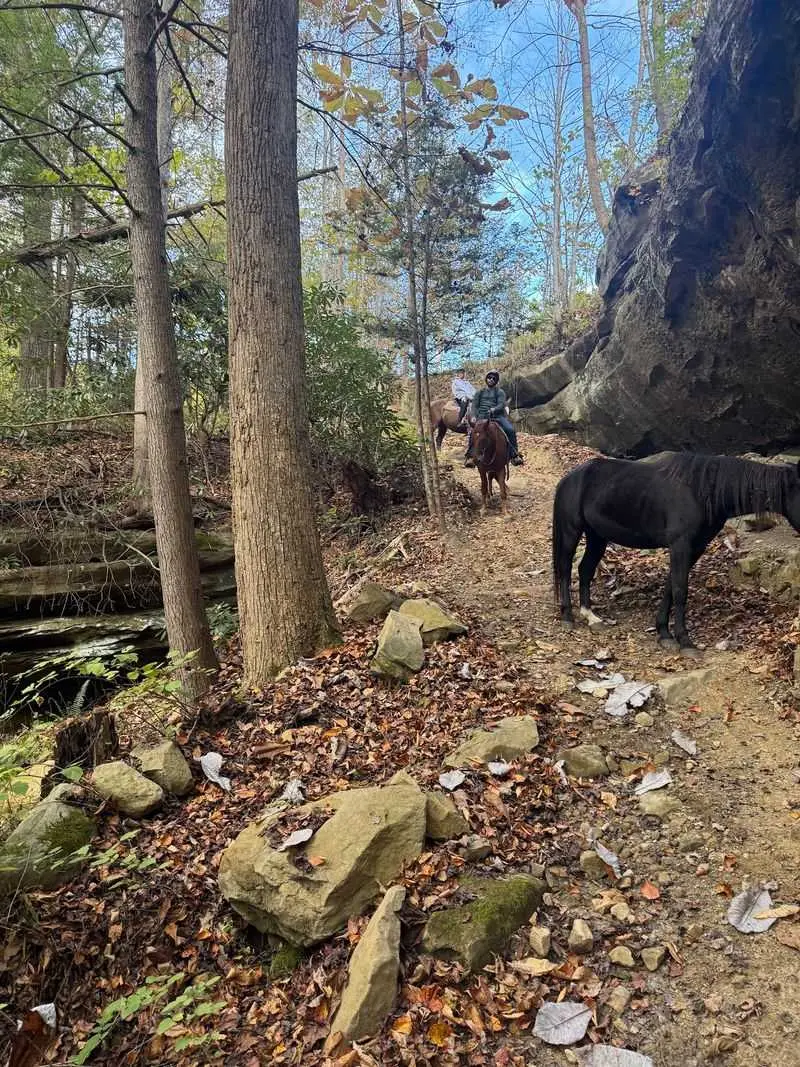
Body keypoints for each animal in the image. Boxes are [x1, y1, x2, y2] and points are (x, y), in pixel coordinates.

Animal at [552, 452, 800, 652]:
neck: (702, 491)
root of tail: (569, 478)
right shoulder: (680, 544)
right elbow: (681, 590)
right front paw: (685, 640)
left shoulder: (695, 547)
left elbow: (671, 586)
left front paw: (664, 633)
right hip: (572, 531)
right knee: (565, 568)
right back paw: (568, 616)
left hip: (597, 536)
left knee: (585, 570)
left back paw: (591, 616)